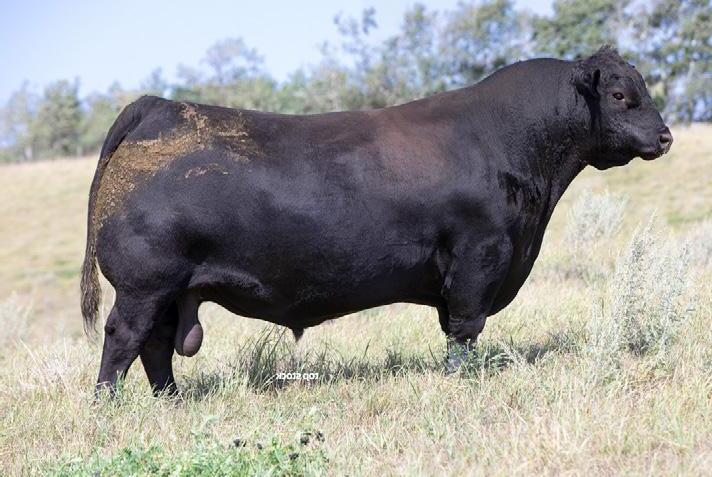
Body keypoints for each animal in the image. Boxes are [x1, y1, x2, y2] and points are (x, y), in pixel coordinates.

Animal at [81, 46, 672, 396]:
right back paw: (108, 405)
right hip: (144, 285)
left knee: (156, 346)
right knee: (123, 338)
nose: (665, 136)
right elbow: (465, 329)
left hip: (170, 290)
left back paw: (171, 401)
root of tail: (160, 106)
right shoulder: (480, 255)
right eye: (621, 95)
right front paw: (460, 383)